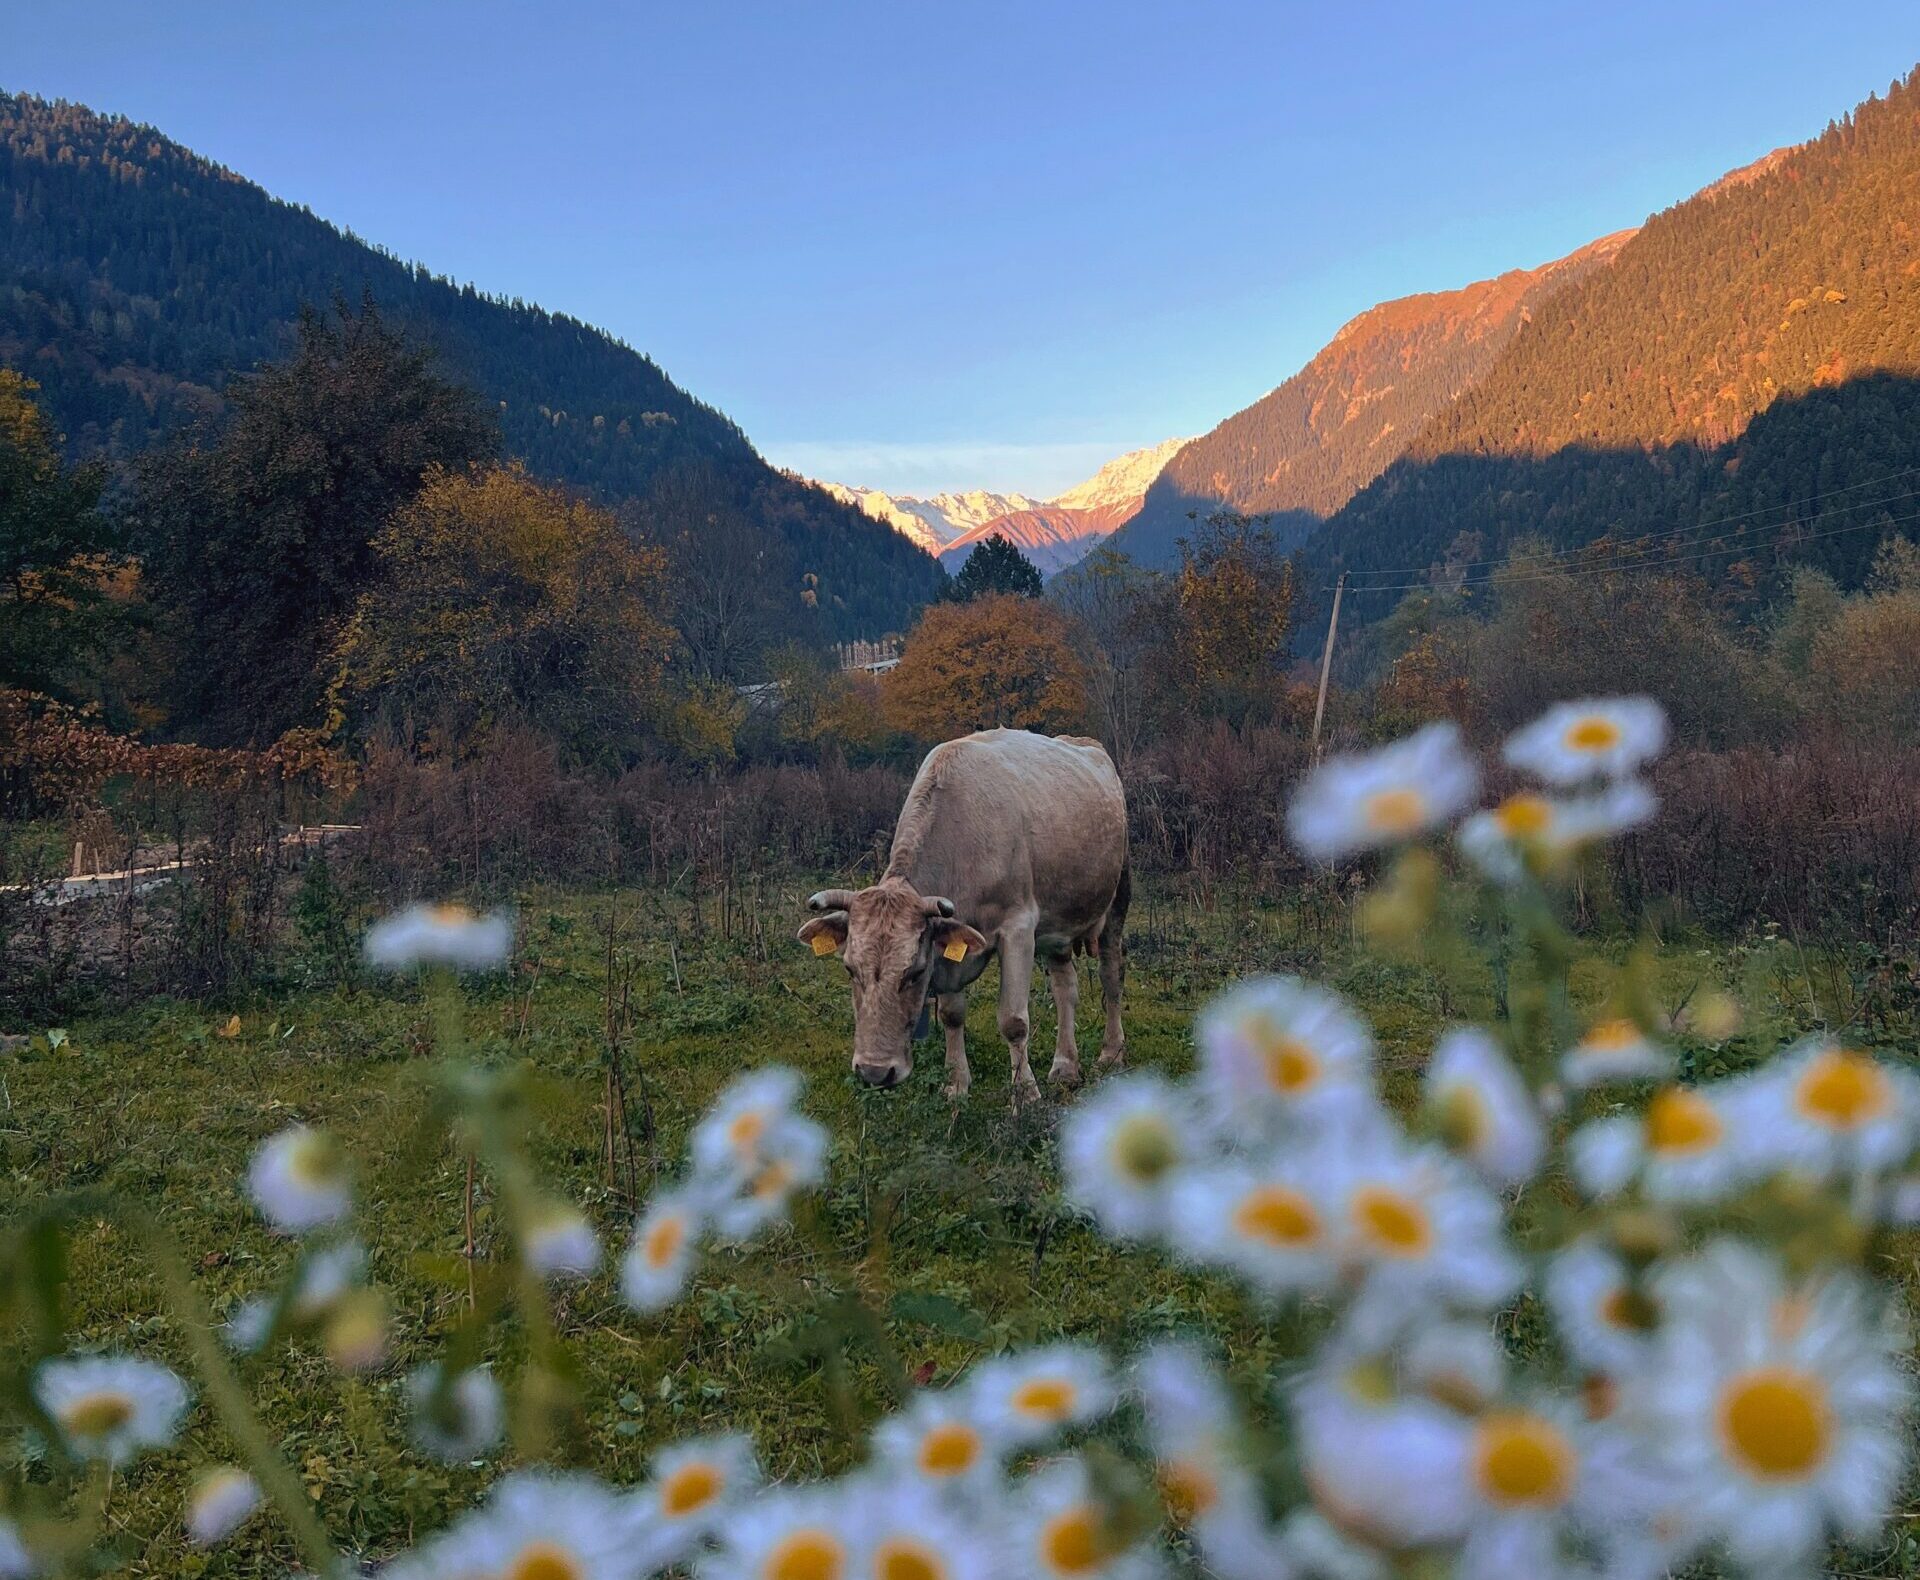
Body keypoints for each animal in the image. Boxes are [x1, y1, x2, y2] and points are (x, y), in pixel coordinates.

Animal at [797, 728, 1130, 1101]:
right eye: (850, 969)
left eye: (915, 972)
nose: (874, 1071)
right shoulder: (948, 941)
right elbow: (951, 1015)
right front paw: (956, 1084)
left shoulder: (1018, 928)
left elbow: (1013, 1021)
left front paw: (1025, 1094)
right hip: (1058, 922)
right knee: (1065, 988)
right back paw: (1065, 1067)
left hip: (1118, 897)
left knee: (1111, 976)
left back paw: (1111, 1053)